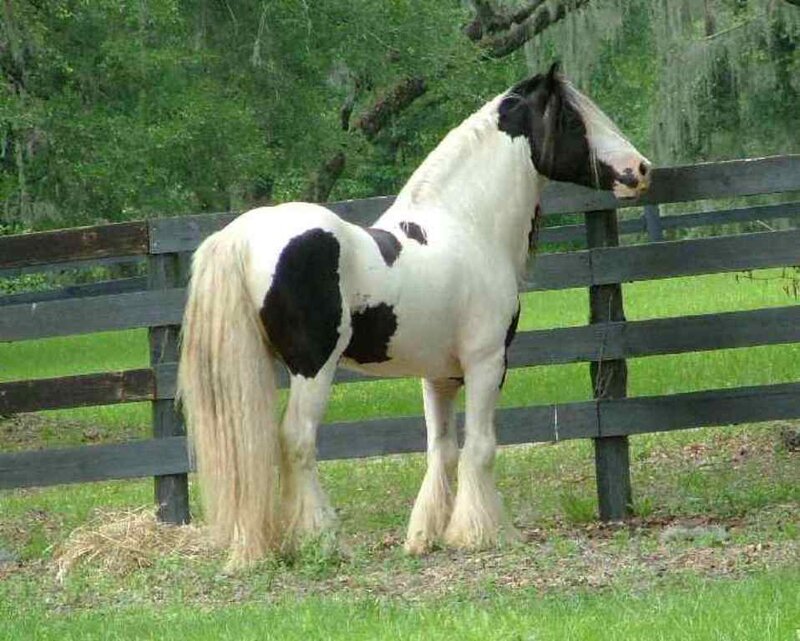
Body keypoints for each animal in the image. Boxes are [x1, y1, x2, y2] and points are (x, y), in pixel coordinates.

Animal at [177, 63, 651, 568]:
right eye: (574, 119)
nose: (640, 170)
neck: (466, 225)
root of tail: (242, 235)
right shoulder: (487, 364)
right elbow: (480, 447)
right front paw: (485, 533)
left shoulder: (438, 376)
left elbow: (441, 450)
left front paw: (427, 535)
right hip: (314, 368)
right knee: (297, 441)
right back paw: (325, 541)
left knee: (254, 446)